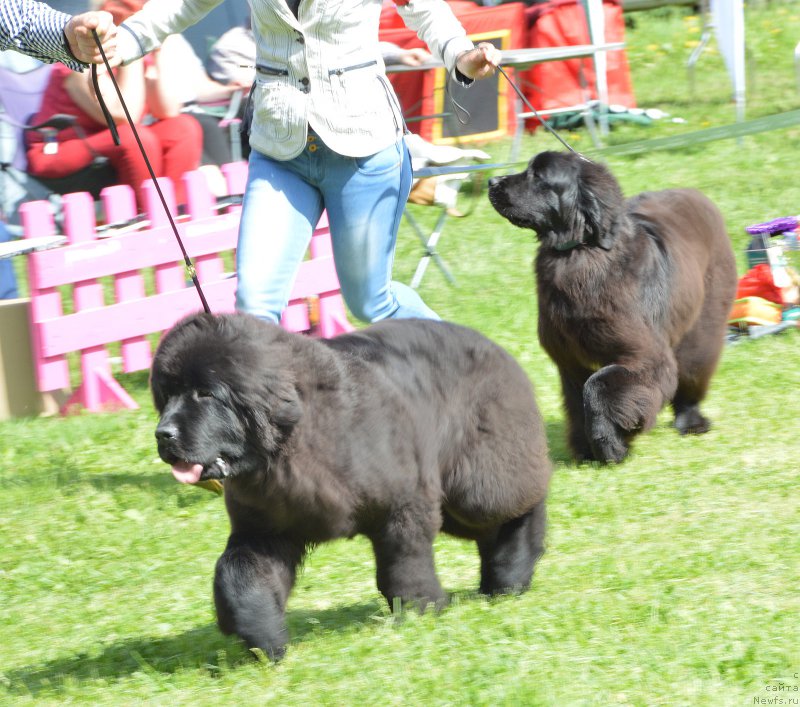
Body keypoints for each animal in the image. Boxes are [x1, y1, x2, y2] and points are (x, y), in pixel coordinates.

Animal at [148, 312, 552, 660]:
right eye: (166, 396)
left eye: (205, 393)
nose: (163, 434)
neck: (292, 441)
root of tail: (492, 345)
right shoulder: (264, 529)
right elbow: (239, 575)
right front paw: (262, 638)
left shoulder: (403, 507)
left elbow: (404, 566)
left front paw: (420, 609)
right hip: (452, 497)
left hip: (477, 482)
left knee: (521, 502)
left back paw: (512, 575)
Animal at [484, 151, 736, 464]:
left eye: (539, 176)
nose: (492, 180)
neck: (578, 251)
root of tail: (695, 194)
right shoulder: (570, 361)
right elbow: (578, 402)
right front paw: (589, 451)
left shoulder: (642, 356)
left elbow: (598, 386)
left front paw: (611, 445)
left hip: (702, 324)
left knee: (692, 368)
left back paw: (691, 422)